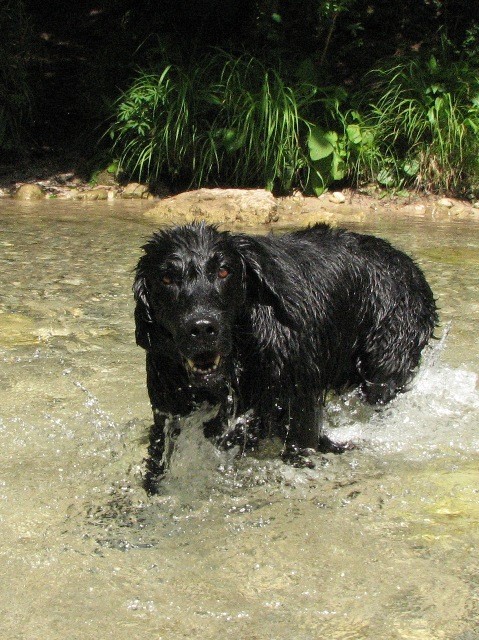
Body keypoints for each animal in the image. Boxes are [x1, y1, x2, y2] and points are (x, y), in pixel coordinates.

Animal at [134, 220, 438, 490]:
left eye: (223, 272)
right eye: (166, 278)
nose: (202, 327)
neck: (243, 354)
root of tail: (406, 261)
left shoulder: (299, 402)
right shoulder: (168, 406)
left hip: (385, 361)